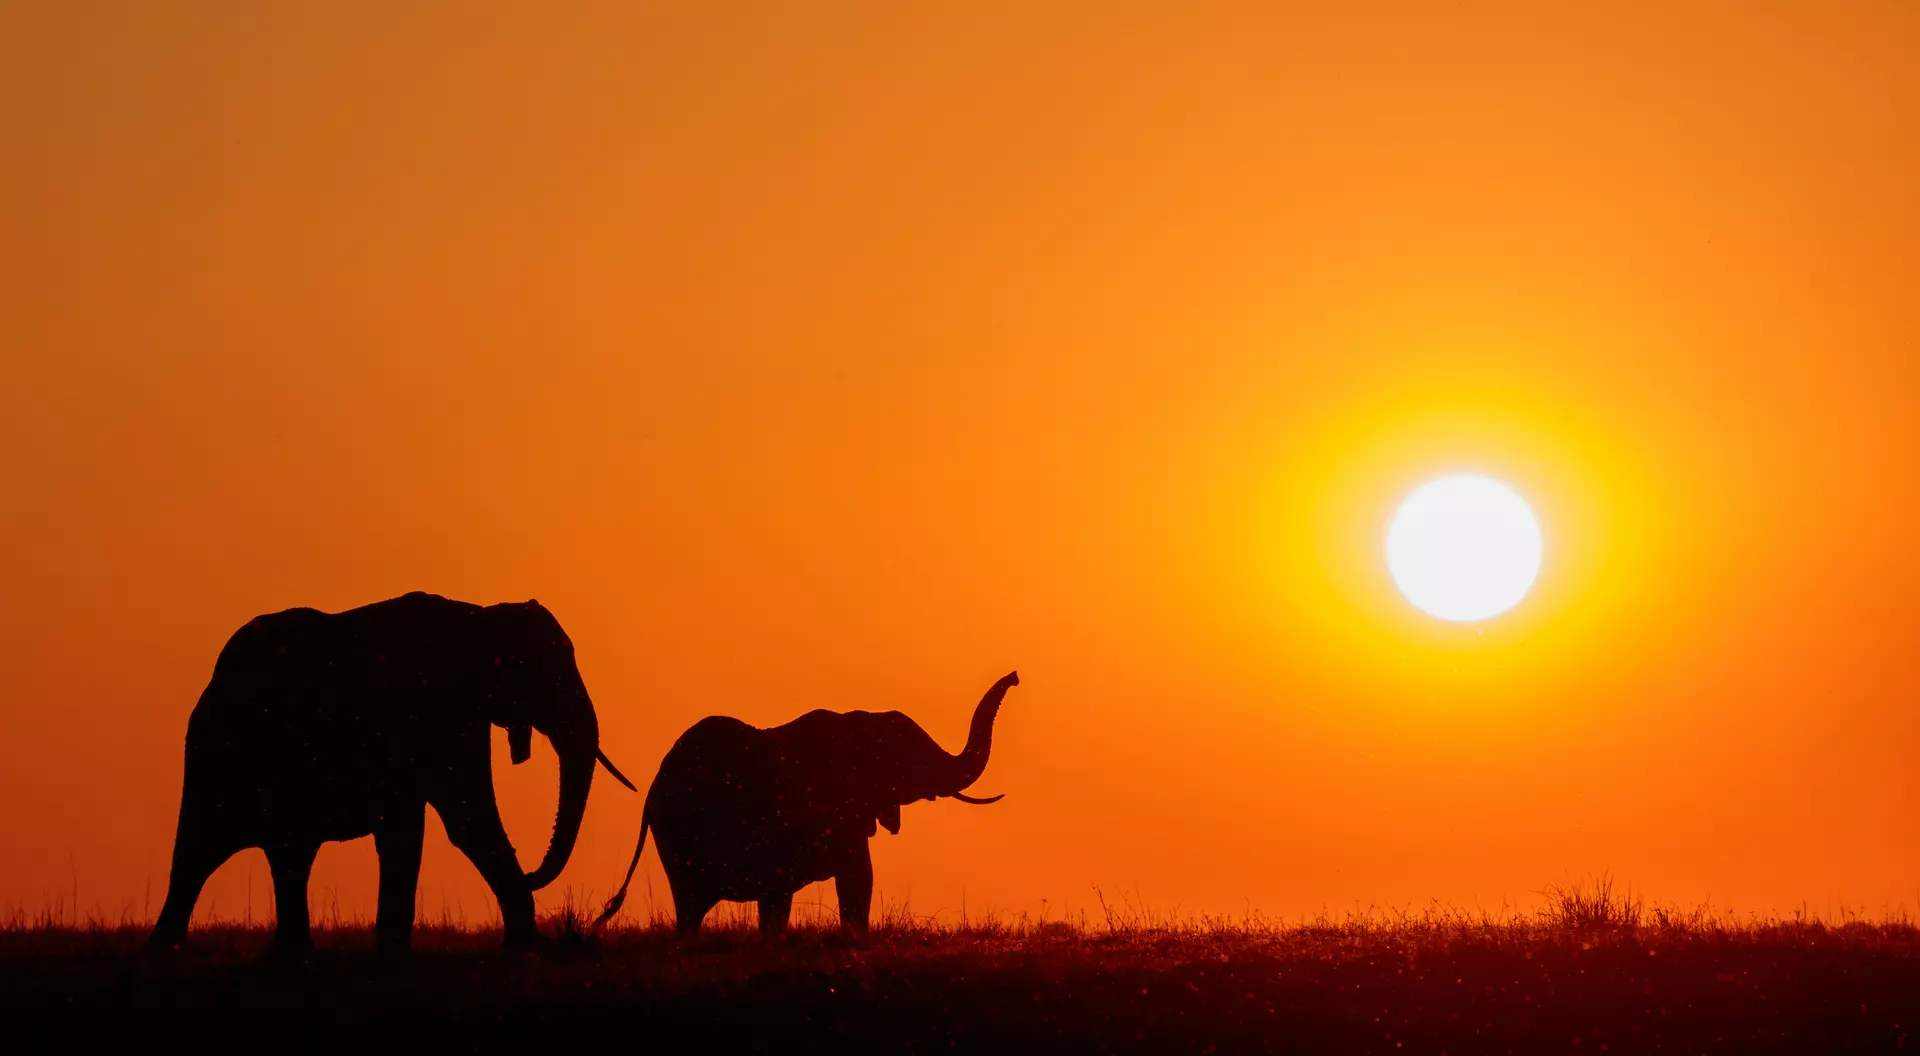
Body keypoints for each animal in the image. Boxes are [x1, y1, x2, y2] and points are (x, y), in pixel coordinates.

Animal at [150, 591, 634, 952]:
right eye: (549, 677)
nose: (532, 873)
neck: (480, 617)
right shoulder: (426, 712)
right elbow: (460, 819)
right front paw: (522, 947)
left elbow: (433, 822)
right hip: (219, 754)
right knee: (201, 848)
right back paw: (169, 951)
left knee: (287, 853)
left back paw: (291, 956)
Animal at [598, 671, 1019, 937]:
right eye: (913, 760)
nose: (1015, 676)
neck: (859, 723)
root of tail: (651, 793)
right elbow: (858, 876)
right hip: (679, 833)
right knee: (690, 904)